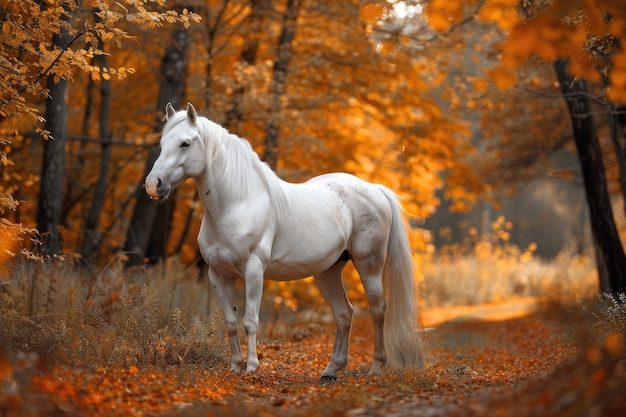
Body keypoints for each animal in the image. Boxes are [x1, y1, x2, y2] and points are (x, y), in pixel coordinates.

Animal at [145, 103, 424, 376]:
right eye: (162, 143)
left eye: (185, 143)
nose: (152, 185)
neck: (236, 203)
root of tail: (375, 188)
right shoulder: (218, 275)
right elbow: (231, 322)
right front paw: (235, 365)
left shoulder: (253, 271)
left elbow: (250, 321)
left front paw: (252, 367)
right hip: (328, 272)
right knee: (344, 313)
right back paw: (331, 369)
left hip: (369, 264)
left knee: (377, 309)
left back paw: (376, 367)